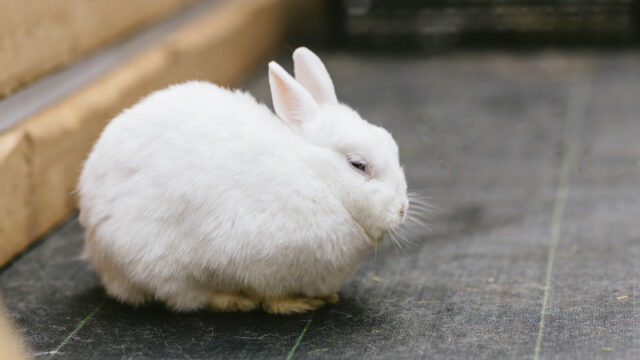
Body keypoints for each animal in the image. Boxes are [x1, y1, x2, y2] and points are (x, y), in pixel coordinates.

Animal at [77, 47, 408, 312]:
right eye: (358, 165)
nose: (403, 208)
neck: (316, 176)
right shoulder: (255, 261)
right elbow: (270, 295)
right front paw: (295, 304)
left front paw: (327, 297)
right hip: (155, 265)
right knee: (187, 296)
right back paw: (234, 301)